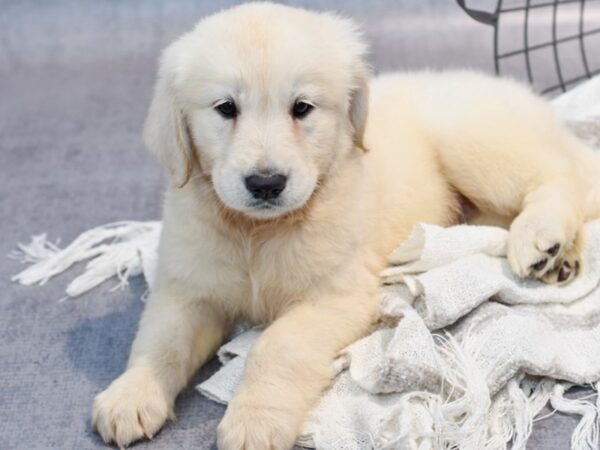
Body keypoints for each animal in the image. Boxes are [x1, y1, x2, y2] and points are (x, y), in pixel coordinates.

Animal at [91, 1, 600, 448]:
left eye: (302, 108)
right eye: (225, 108)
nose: (266, 183)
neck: (258, 231)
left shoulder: (336, 294)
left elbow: (276, 346)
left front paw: (255, 421)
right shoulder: (188, 287)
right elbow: (159, 341)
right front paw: (130, 395)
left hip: (472, 141)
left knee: (559, 176)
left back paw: (542, 240)